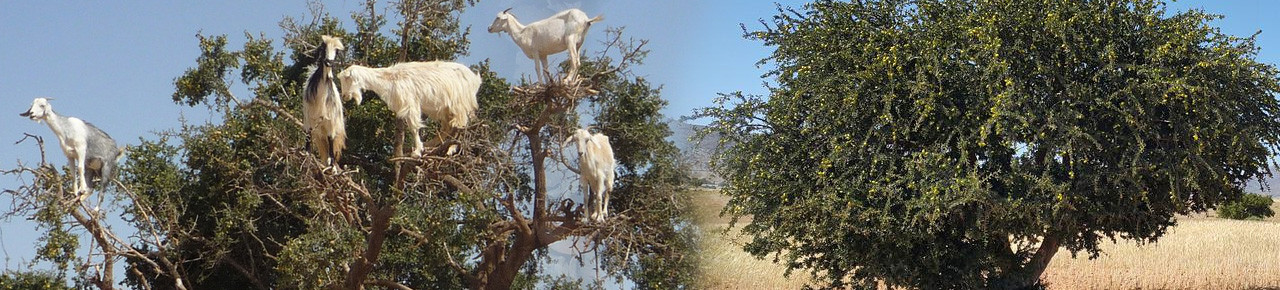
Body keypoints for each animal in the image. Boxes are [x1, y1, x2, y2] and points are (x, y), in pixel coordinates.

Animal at [302, 35, 348, 168]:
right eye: (323, 48)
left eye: (336, 52)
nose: (329, 62)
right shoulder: (308, 117)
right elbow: (308, 134)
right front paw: (307, 154)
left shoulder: (331, 120)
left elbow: (331, 138)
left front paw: (331, 163)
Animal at [335, 60, 481, 156]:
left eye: (347, 79)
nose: (345, 96)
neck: (390, 78)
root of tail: (475, 79)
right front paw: (420, 148)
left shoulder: (410, 103)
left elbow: (414, 127)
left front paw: (417, 151)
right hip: (446, 109)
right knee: (447, 127)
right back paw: (433, 145)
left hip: (459, 104)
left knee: (460, 125)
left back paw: (451, 148)